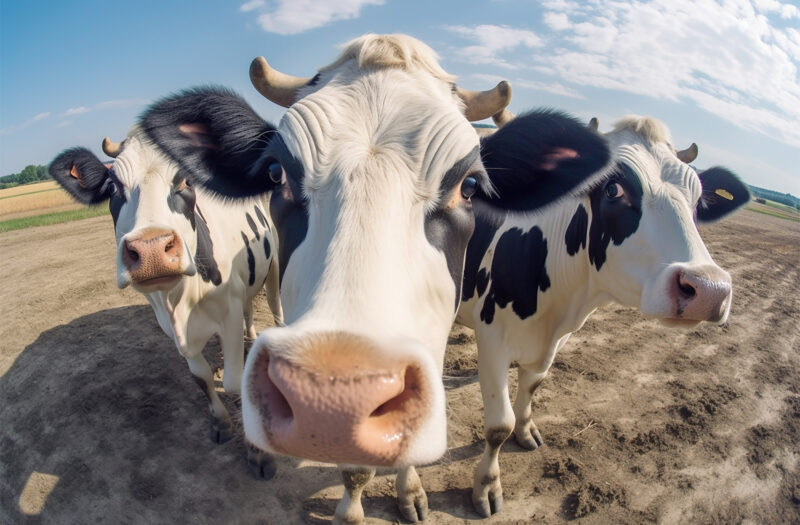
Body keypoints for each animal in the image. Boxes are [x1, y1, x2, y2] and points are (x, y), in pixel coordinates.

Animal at [47, 130, 284, 474]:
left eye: (185, 179)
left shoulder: (227, 312)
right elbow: (200, 377)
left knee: (276, 309)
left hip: (275, 265)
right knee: (250, 310)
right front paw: (221, 423)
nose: (152, 250)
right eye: (112, 186)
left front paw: (258, 452)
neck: (182, 300)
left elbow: (232, 381)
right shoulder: (171, 326)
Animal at [138, 34, 612, 520]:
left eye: (471, 185)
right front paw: (353, 511)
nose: (329, 404)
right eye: (276, 172)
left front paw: (413, 492)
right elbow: (356, 469)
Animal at [456, 114, 752, 516]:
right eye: (613, 189)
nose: (710, 289)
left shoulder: (554, 341)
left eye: (697, 200)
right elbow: (498, 426)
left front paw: (526, 430)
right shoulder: (493, 340)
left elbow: (532, 388)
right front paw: (486, 486)